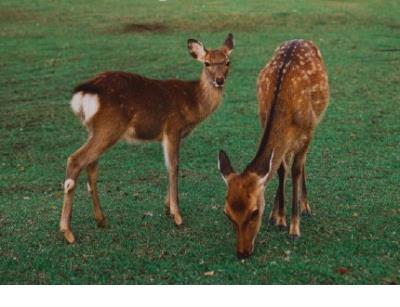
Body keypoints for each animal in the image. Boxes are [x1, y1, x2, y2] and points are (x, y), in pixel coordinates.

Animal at [60, 33, 234, 244]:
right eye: (207, 63)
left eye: (227, 61)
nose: (219, 80)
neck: (193, 103)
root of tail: (83, 93)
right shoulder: (172, 128)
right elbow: (174, 167)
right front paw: (177, 215)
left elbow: (171, 165)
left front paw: (167, 208)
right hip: (108, 128)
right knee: (76, 160)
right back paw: (68, 232)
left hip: (95, 130)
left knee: (91, 167)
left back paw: (101, 220)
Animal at [219, 39, 328, 260]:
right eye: (227, 213)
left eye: (254, 212)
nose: (242, 253)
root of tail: (301, 39)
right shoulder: (265, 121)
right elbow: (279, 169)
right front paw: (279, 218)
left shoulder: (308, 131)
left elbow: (296, 170)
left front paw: (294, 228)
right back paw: (275, 213)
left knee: (301, 164)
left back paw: (305, 207)